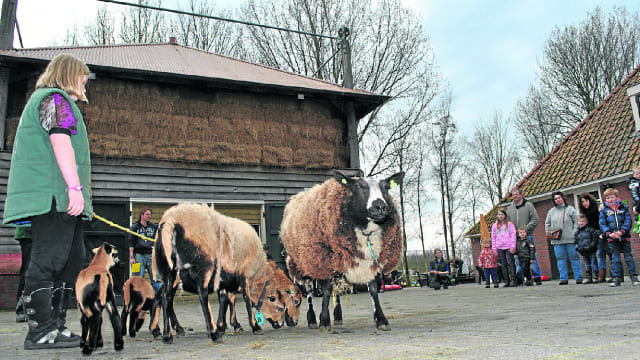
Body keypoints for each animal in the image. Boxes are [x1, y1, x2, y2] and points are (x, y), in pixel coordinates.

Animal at [151, 202, 284, 344]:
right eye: (278, 305)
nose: (281, 324)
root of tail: (171, 219)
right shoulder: (244, 275)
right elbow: (246, 299)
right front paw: (254, 326)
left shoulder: (226, 279)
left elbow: (226, 300)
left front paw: (226, 325)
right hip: (203, 266)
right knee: (202, 296)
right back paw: (213, 333)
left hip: (168, 271)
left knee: (165, 297)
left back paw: (166, 334)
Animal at [282, 172, 402, 332]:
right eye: (359, 186)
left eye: (386, 187)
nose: (381, 206)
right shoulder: (324, 260)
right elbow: (326, 291)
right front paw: (324, 321)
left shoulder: (369, 261)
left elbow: (373, 289)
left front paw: (381, 320)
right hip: (303, 263)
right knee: (308, 292)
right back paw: (312, 319)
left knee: (337, 288)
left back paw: (338, 316)